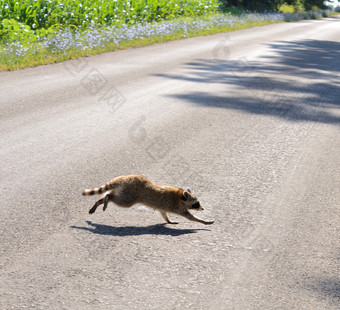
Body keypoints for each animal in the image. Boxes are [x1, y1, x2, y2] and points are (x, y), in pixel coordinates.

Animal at [82, 174, 214, 225]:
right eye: (196, 204)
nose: (202, 208)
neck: (181, 195)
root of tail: (123, 178)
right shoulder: (177, 206)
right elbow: (190, 217)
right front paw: (204, 221)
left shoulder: (163, 207)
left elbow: (164, 214)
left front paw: (169, 221)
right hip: (130, 195)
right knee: (116, 198)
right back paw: (106, 199)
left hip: (125, 191)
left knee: (110, 195)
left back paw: (101, 200)